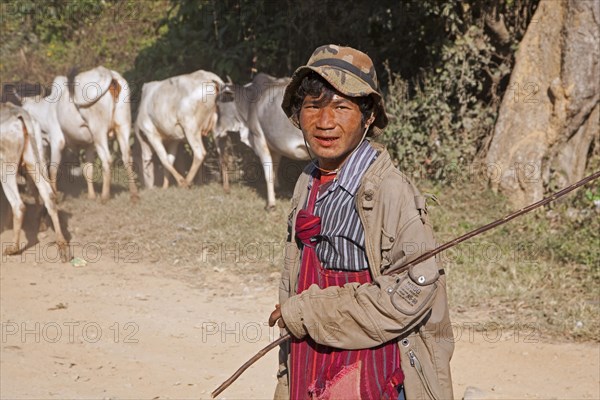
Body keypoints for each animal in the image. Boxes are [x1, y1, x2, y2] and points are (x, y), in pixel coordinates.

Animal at [0, 101, 68, 260]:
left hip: (6, 166)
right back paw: (62, 246)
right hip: (34, 160)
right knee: (49, 195)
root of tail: (19, 112)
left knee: (18, 205)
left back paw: (13, 248)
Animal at [19, 67, 139, 203]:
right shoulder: (89, 145)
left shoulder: (57, 142)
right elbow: (88, 170)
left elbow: (52, 169)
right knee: (127, 156)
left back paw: (105, 196)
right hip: (123, 126)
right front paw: (91, 196)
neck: (45, 109)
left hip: (99, 132)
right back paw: (134, 194)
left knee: (107, 159)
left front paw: (55, 196)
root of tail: (109, 75)